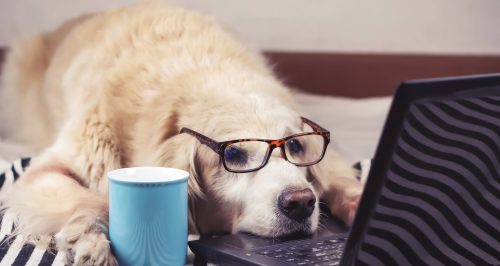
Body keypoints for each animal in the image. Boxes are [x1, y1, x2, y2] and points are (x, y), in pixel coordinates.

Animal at [0, 3, 360, 264]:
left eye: (296, 147)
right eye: (233, 154)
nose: (301, 203)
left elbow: (340, 178)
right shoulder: (47, 170)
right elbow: (91, 200)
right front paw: (91, 244)